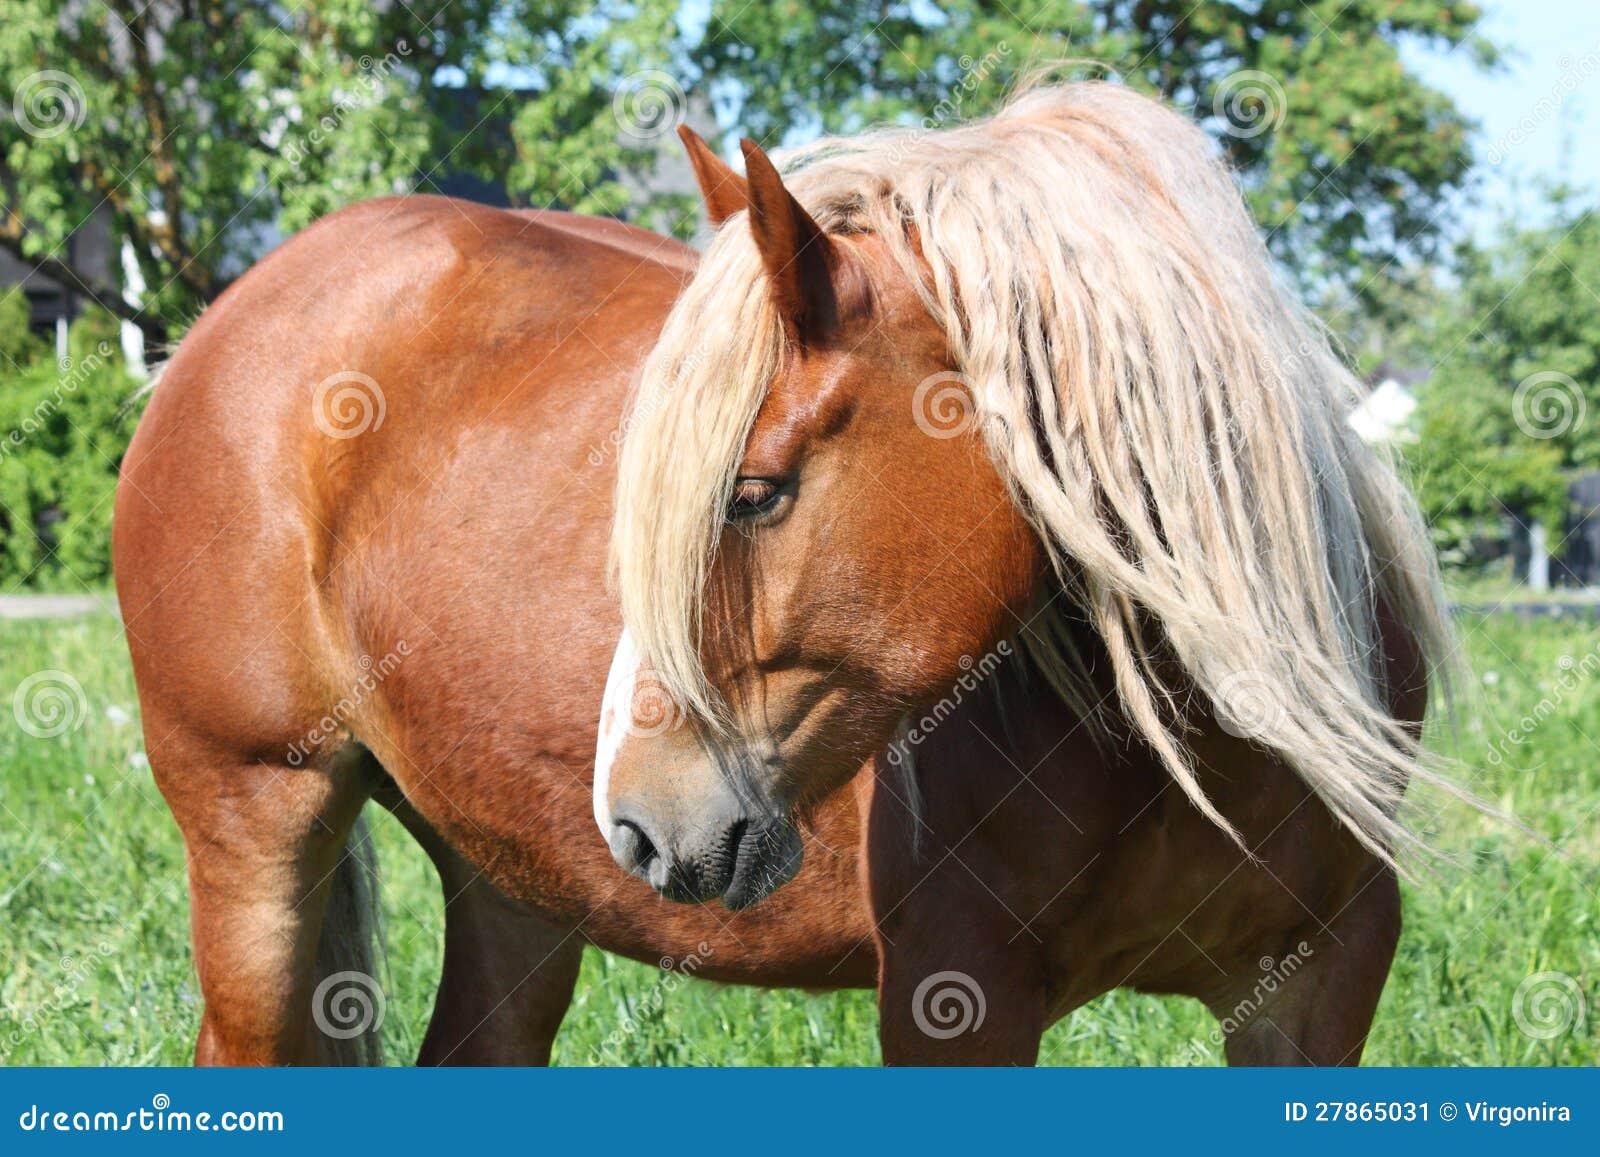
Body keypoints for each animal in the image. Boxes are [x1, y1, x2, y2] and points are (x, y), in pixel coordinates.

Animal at [118, 81, 1452, 1068]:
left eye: (753, 490)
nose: (635, 815)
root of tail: (236, 312)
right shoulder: (955, 992)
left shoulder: (1318, 985)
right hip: (260, 820)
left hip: (512, 880)